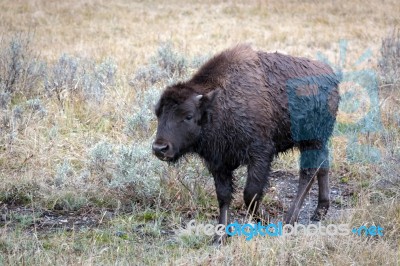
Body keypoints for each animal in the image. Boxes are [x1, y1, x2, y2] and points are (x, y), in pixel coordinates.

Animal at [152, 43, 340, 239]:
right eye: (158, 113)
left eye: (188, 115)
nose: (160, 148)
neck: (218, 104)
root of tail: (330, 75)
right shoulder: (219, 164)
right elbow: (224, 196)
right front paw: (220, 237)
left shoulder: (260, 155)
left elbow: (250, 193)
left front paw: (267, 221)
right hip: (318, 141)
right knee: (322, 166)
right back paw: (320, 211)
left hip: (312, 140)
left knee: (308, 173)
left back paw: (290, 220)